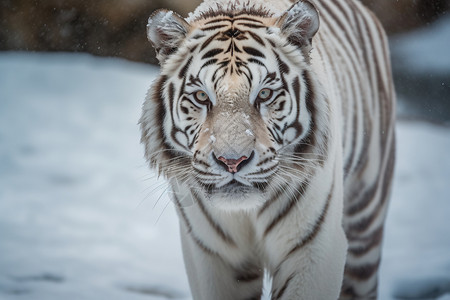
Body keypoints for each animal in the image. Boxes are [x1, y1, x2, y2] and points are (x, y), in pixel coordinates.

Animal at [140, 0, 394, 298]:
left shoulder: (314, 248)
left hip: (366, 220)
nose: (232, 161)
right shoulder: (210, 254)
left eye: (264, 94)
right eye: (202, 96)